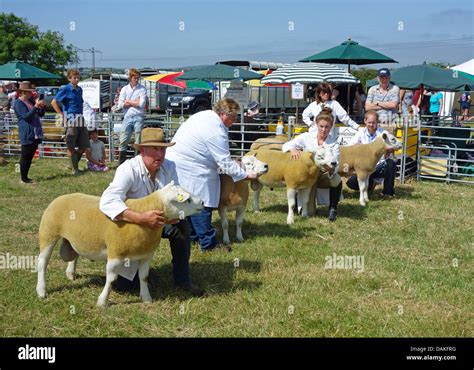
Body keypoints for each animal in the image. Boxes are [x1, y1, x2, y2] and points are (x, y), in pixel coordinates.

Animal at [34, 181, 202, 306]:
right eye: (187, 200)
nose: (202, 201)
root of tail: (62, 197)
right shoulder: (116, 253)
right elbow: (111, 279)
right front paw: (102, 301)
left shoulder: (146, 255)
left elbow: (144, 277)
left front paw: (147, 298)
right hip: (48, 233)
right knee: (42, 262)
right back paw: (41, 291)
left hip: (73, 238)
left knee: (74, 254)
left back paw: (70, 273)